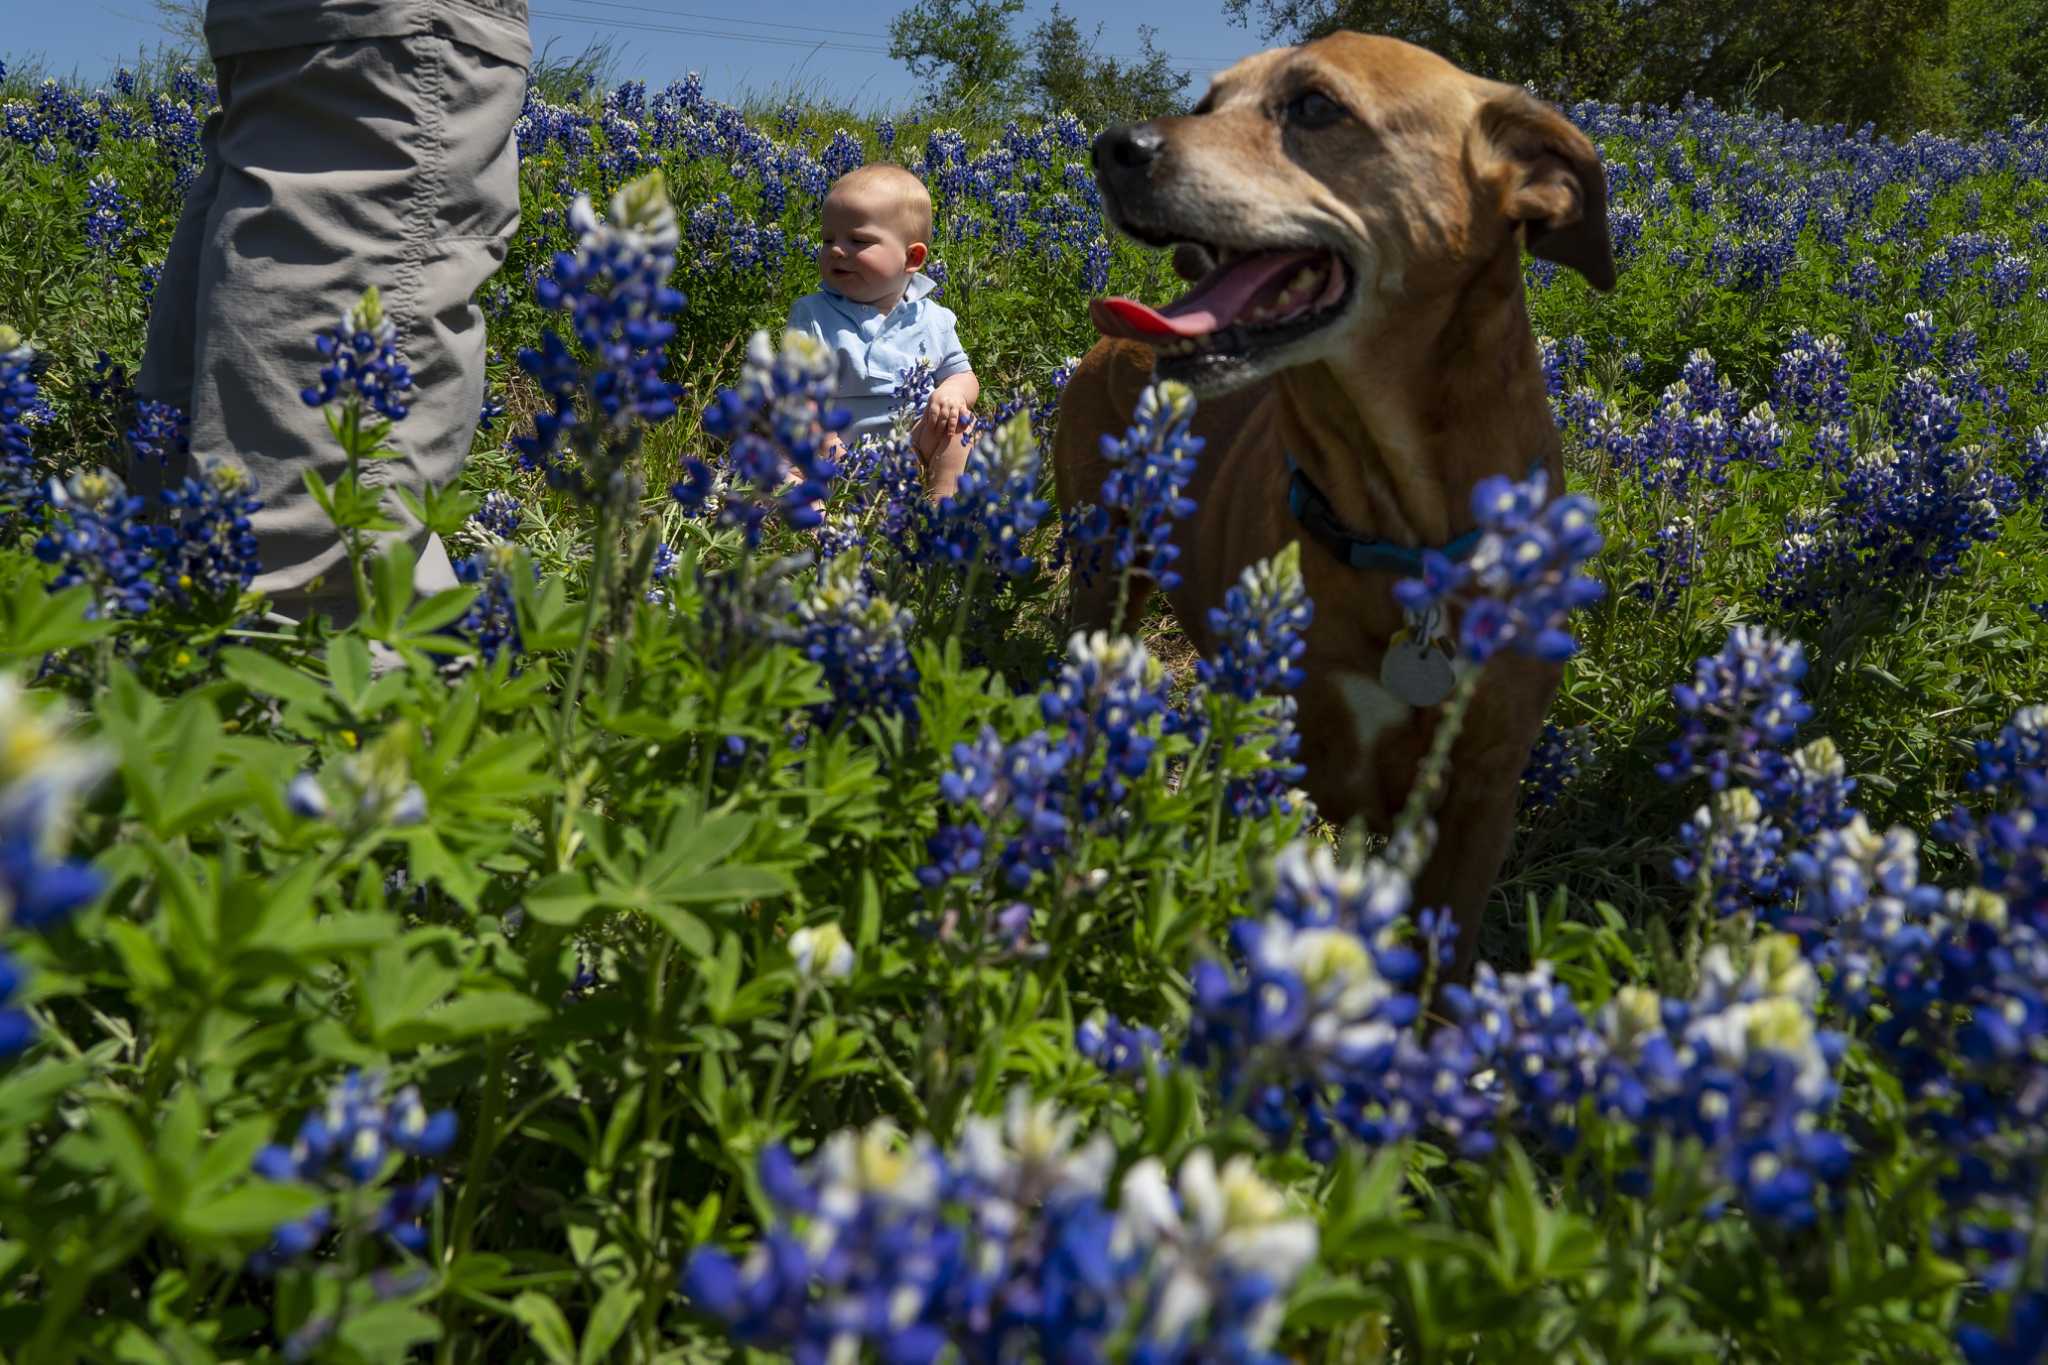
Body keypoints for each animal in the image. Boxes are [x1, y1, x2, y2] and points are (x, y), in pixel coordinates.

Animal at [1056, 29, 1613, 961]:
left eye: (1315, 106)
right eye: (1206, 104)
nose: (1113, 148)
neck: (1401, 530)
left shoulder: (1483, 788)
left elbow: (1445, 962)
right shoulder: (1283, 752)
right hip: (1103, 562)